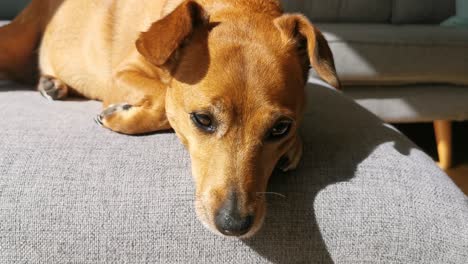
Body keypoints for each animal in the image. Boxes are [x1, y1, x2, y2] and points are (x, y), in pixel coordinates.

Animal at [0, 0, 338, 238]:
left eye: (280, 128)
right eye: (202, 119)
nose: (234, 224)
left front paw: (293, 147)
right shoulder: (121, 75)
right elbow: (164, 100)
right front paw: (117, 117)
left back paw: (52, 84)